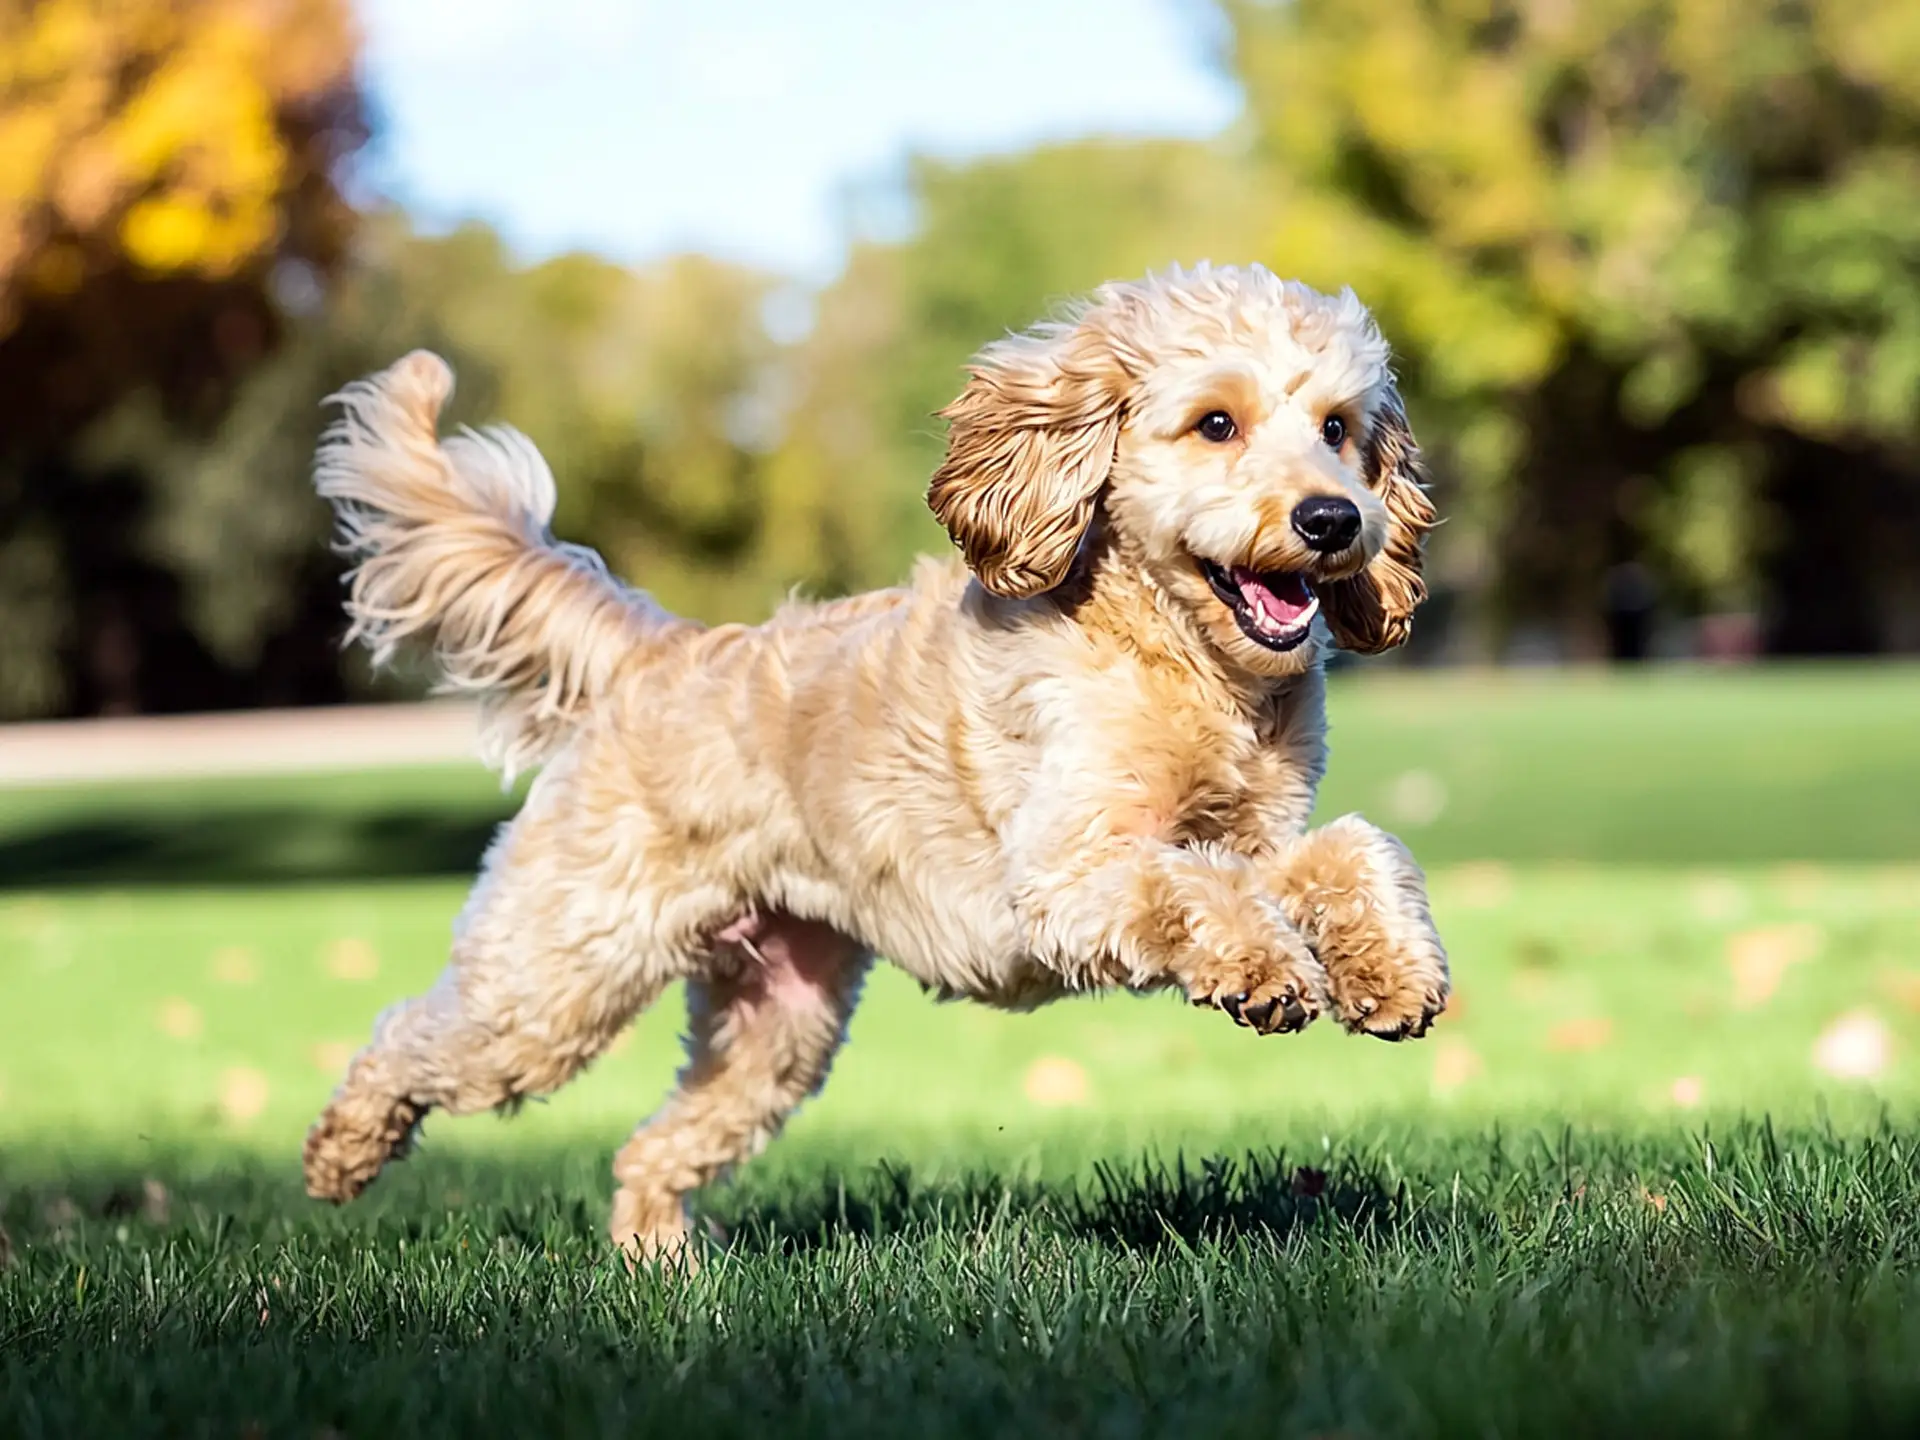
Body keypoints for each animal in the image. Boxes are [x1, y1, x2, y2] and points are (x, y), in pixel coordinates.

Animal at [303, 263, 1443, 1259]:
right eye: (1216, 423)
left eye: (1339, 429)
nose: (1334, 518)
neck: (1184, 665)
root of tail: (657, 653)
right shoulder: (1070, 871)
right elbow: (1192, 890)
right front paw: (1266, 969)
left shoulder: (1255, 833)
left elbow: (1352, 848)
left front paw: (1389, 971)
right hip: (558, 975)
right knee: (409, 1037)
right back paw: (340, 1155)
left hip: (779, 1024)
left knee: (655, 1149)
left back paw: (658, 1266)